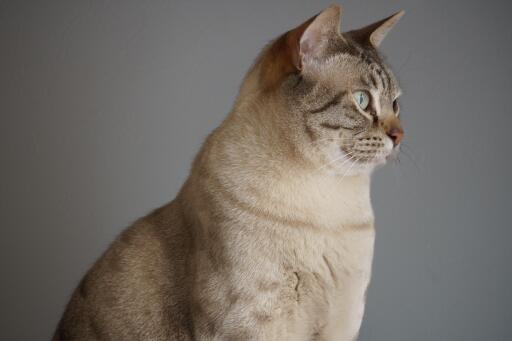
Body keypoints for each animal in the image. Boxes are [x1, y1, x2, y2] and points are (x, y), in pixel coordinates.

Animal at [52, 5, 404, 340]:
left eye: (396, 104)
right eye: (362, 100)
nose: (400, 135)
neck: (329, 211)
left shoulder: (343, 322)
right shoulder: (253, 323)